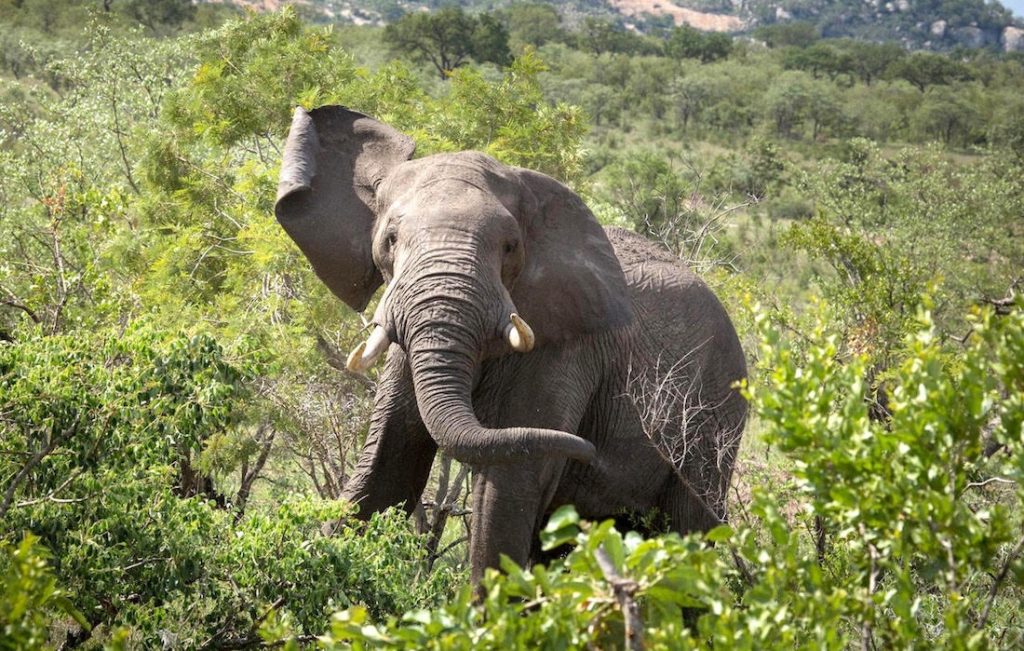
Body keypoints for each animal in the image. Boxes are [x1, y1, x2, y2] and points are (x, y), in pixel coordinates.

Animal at [276, 106, 749, 585]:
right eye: (390, 240)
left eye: (509, 247)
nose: (588, 448)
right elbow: (386, 469)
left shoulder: (566, 350)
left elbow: (509, 485)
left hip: (717, 417)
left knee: (689, 528)